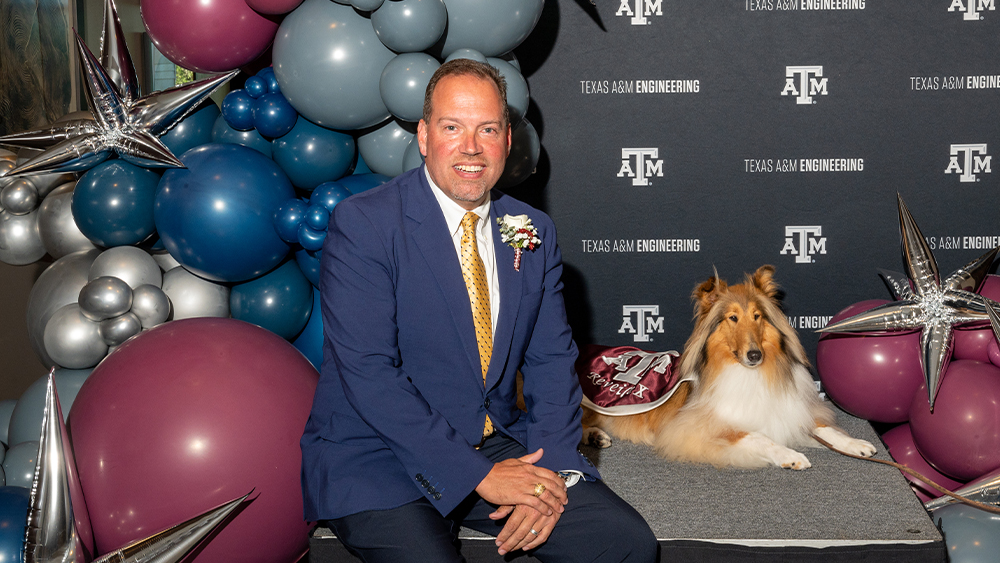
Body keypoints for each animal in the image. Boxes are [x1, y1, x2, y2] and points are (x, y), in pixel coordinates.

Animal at [584, 266, 872, 470]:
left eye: (757, 316)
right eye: (732, 318)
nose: (755, 355)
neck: (748, 373)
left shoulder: (786, 412)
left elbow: (823, 428)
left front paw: (854, 443)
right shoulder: (698, 428)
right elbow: (759, 436)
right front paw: (790, 455)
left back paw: (596, 437)